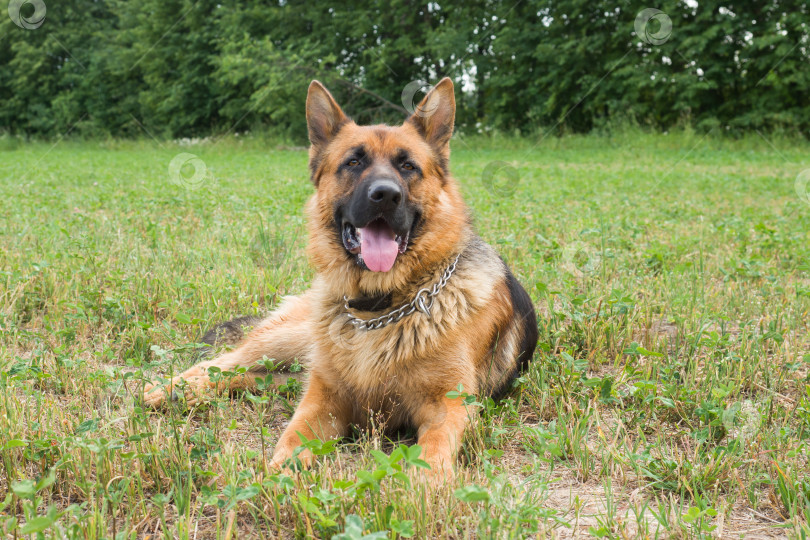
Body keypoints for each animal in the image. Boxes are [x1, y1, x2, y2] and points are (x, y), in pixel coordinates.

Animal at [145, 78, 536, 478]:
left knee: (255, 376)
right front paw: (279, 475)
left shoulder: (449, 404)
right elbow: (293, 435)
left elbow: (435, 450)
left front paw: (424, 483)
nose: (385, 195)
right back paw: (171, 388)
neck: (380, 308)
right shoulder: (324, 398)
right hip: (289, 340)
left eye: (407, 165)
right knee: (225, 362)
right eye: (353, 162)